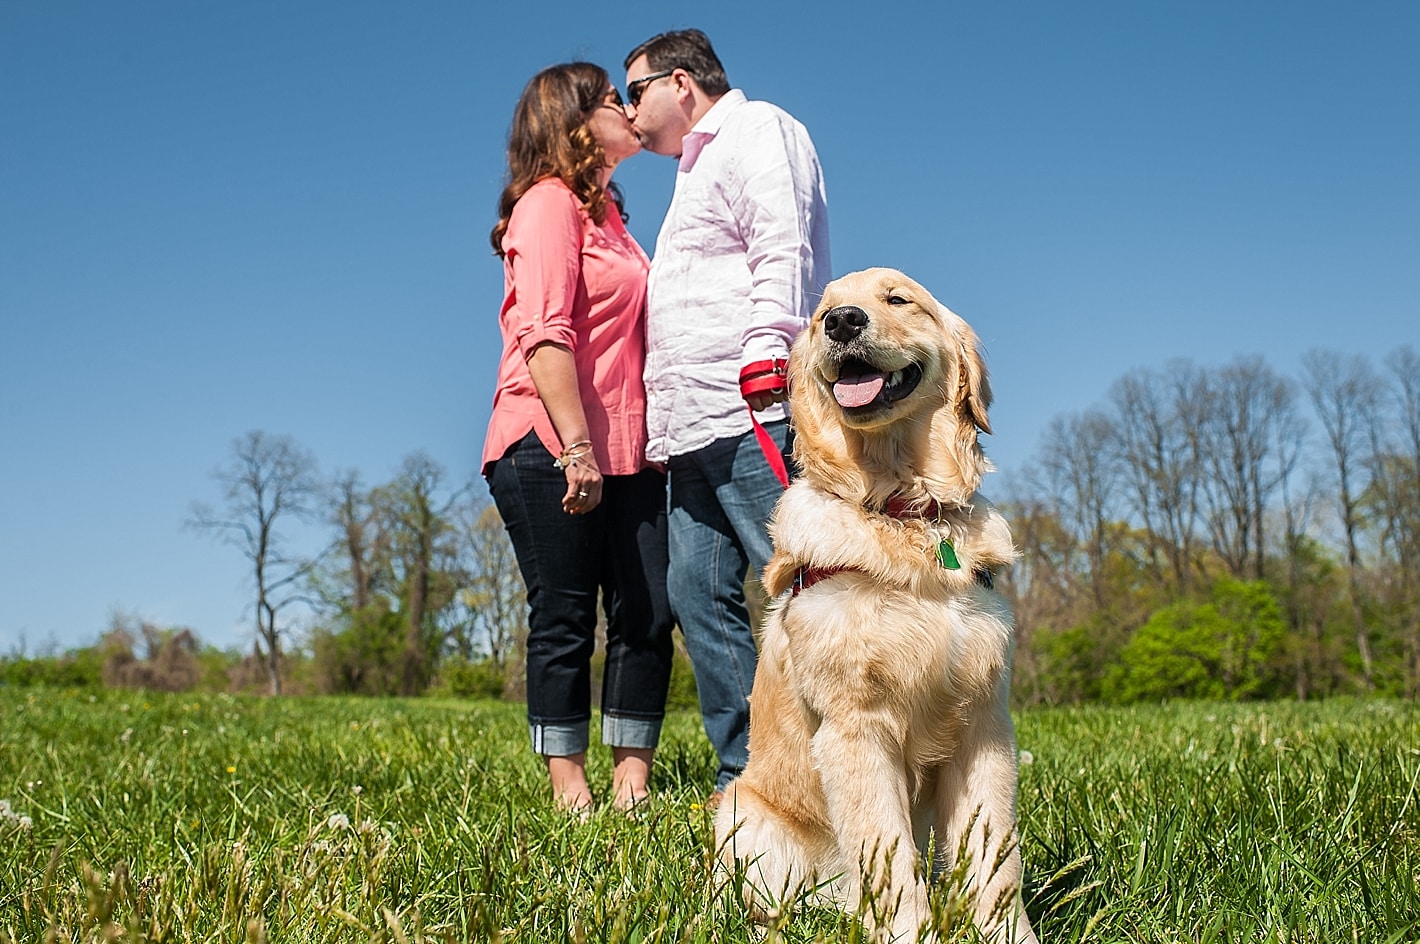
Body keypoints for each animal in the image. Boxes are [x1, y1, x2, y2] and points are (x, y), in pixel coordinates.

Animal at [715, 266, 1039, 942]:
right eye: (822, 315)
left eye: (898, 299)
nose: (844, 322)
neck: (903, 509)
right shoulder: (855, 727)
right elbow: (886, 856)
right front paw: (908, 931)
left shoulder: (986, 725)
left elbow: (997, 858)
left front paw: (1006, 933)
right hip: (737, 815)